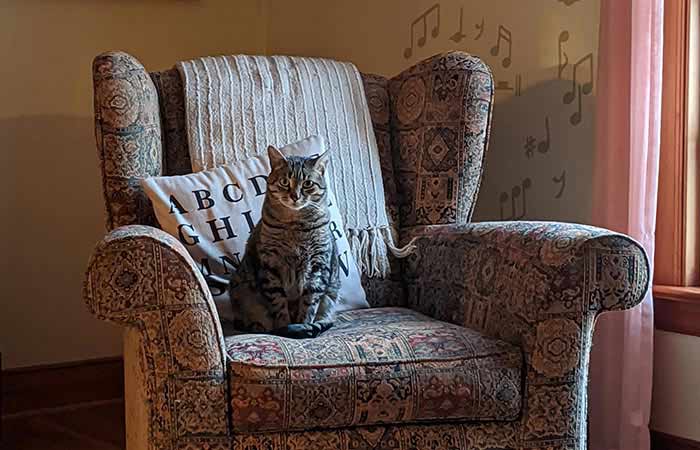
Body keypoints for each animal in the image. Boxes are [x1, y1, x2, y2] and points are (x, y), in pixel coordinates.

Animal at [228, 146, 340, 340]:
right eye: (284, 181)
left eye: (308, 184)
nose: (295, 196)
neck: (295, 226)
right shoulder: (270, 265)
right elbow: (278, 303)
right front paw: (286, 326)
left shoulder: (318, 266)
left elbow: (309, 304)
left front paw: (303, 324)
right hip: (241, 290)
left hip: (331, 294)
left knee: (326, 317)